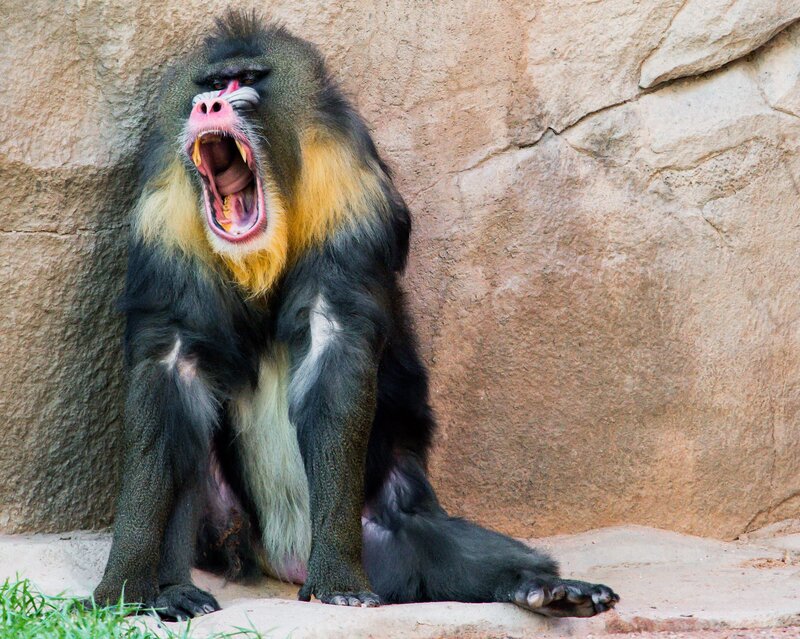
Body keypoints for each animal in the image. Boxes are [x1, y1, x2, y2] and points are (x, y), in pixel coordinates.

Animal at [91, 11, 619, 621]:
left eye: (246, 80)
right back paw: (176, 591)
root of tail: (285, 559)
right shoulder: (166, 218)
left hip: (391, 530)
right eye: (210, 83)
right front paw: (122, 588)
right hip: (224, 523)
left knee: (448, 547)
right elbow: (169, 373)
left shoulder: (348, 190)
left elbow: (336, 351)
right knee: (186, 459)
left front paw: (339, 580)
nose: (208, 107)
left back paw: (549, 589)